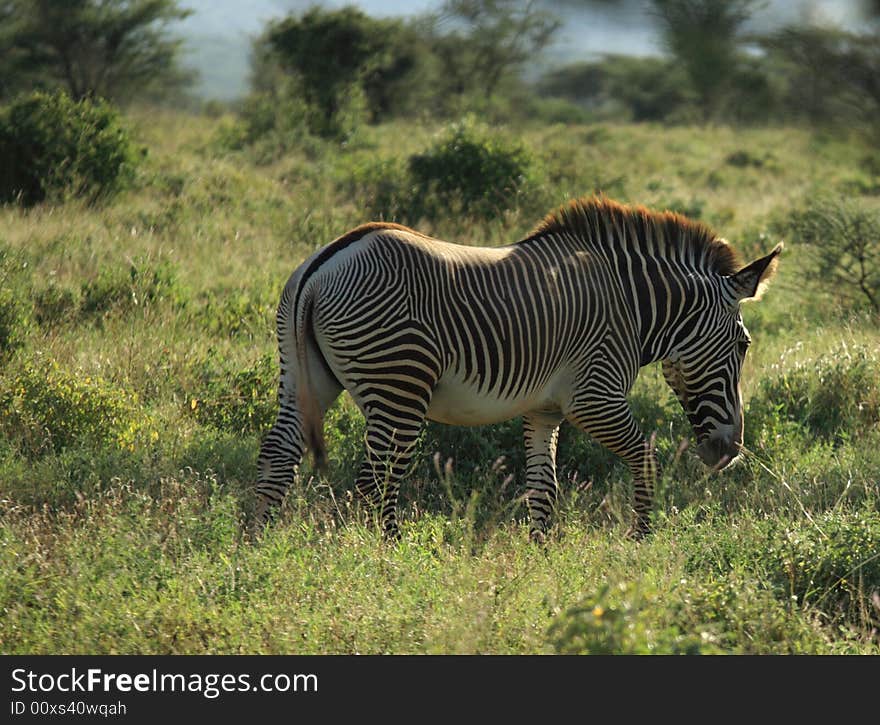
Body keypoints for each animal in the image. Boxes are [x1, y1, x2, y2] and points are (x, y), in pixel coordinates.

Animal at [253, 195, 776, 540]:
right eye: (743, 345)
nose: (729, 452)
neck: (631, 304)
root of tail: (323, 266)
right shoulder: (594, 396)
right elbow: (645, 457)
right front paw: (642, 541)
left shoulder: (544, 408)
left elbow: (544, 488)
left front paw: (541, 554)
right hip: (400, 386)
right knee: (372, 482)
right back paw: (384, 557)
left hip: (304, 375)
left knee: (277, 455)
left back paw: (257, 546)